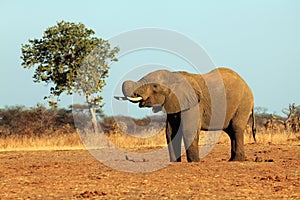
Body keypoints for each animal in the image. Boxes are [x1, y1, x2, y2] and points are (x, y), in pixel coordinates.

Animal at [119, 68, 255, 162]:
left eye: (155, 86)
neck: (174, 75)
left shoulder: (195, 104)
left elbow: (188, 129)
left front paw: (194, 162)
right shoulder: (173, 102)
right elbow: (170, 132)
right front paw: (175, 162)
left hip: (243, 103)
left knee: (236, 128)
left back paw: (236, 160)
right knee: (231, 131)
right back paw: (232, 160)